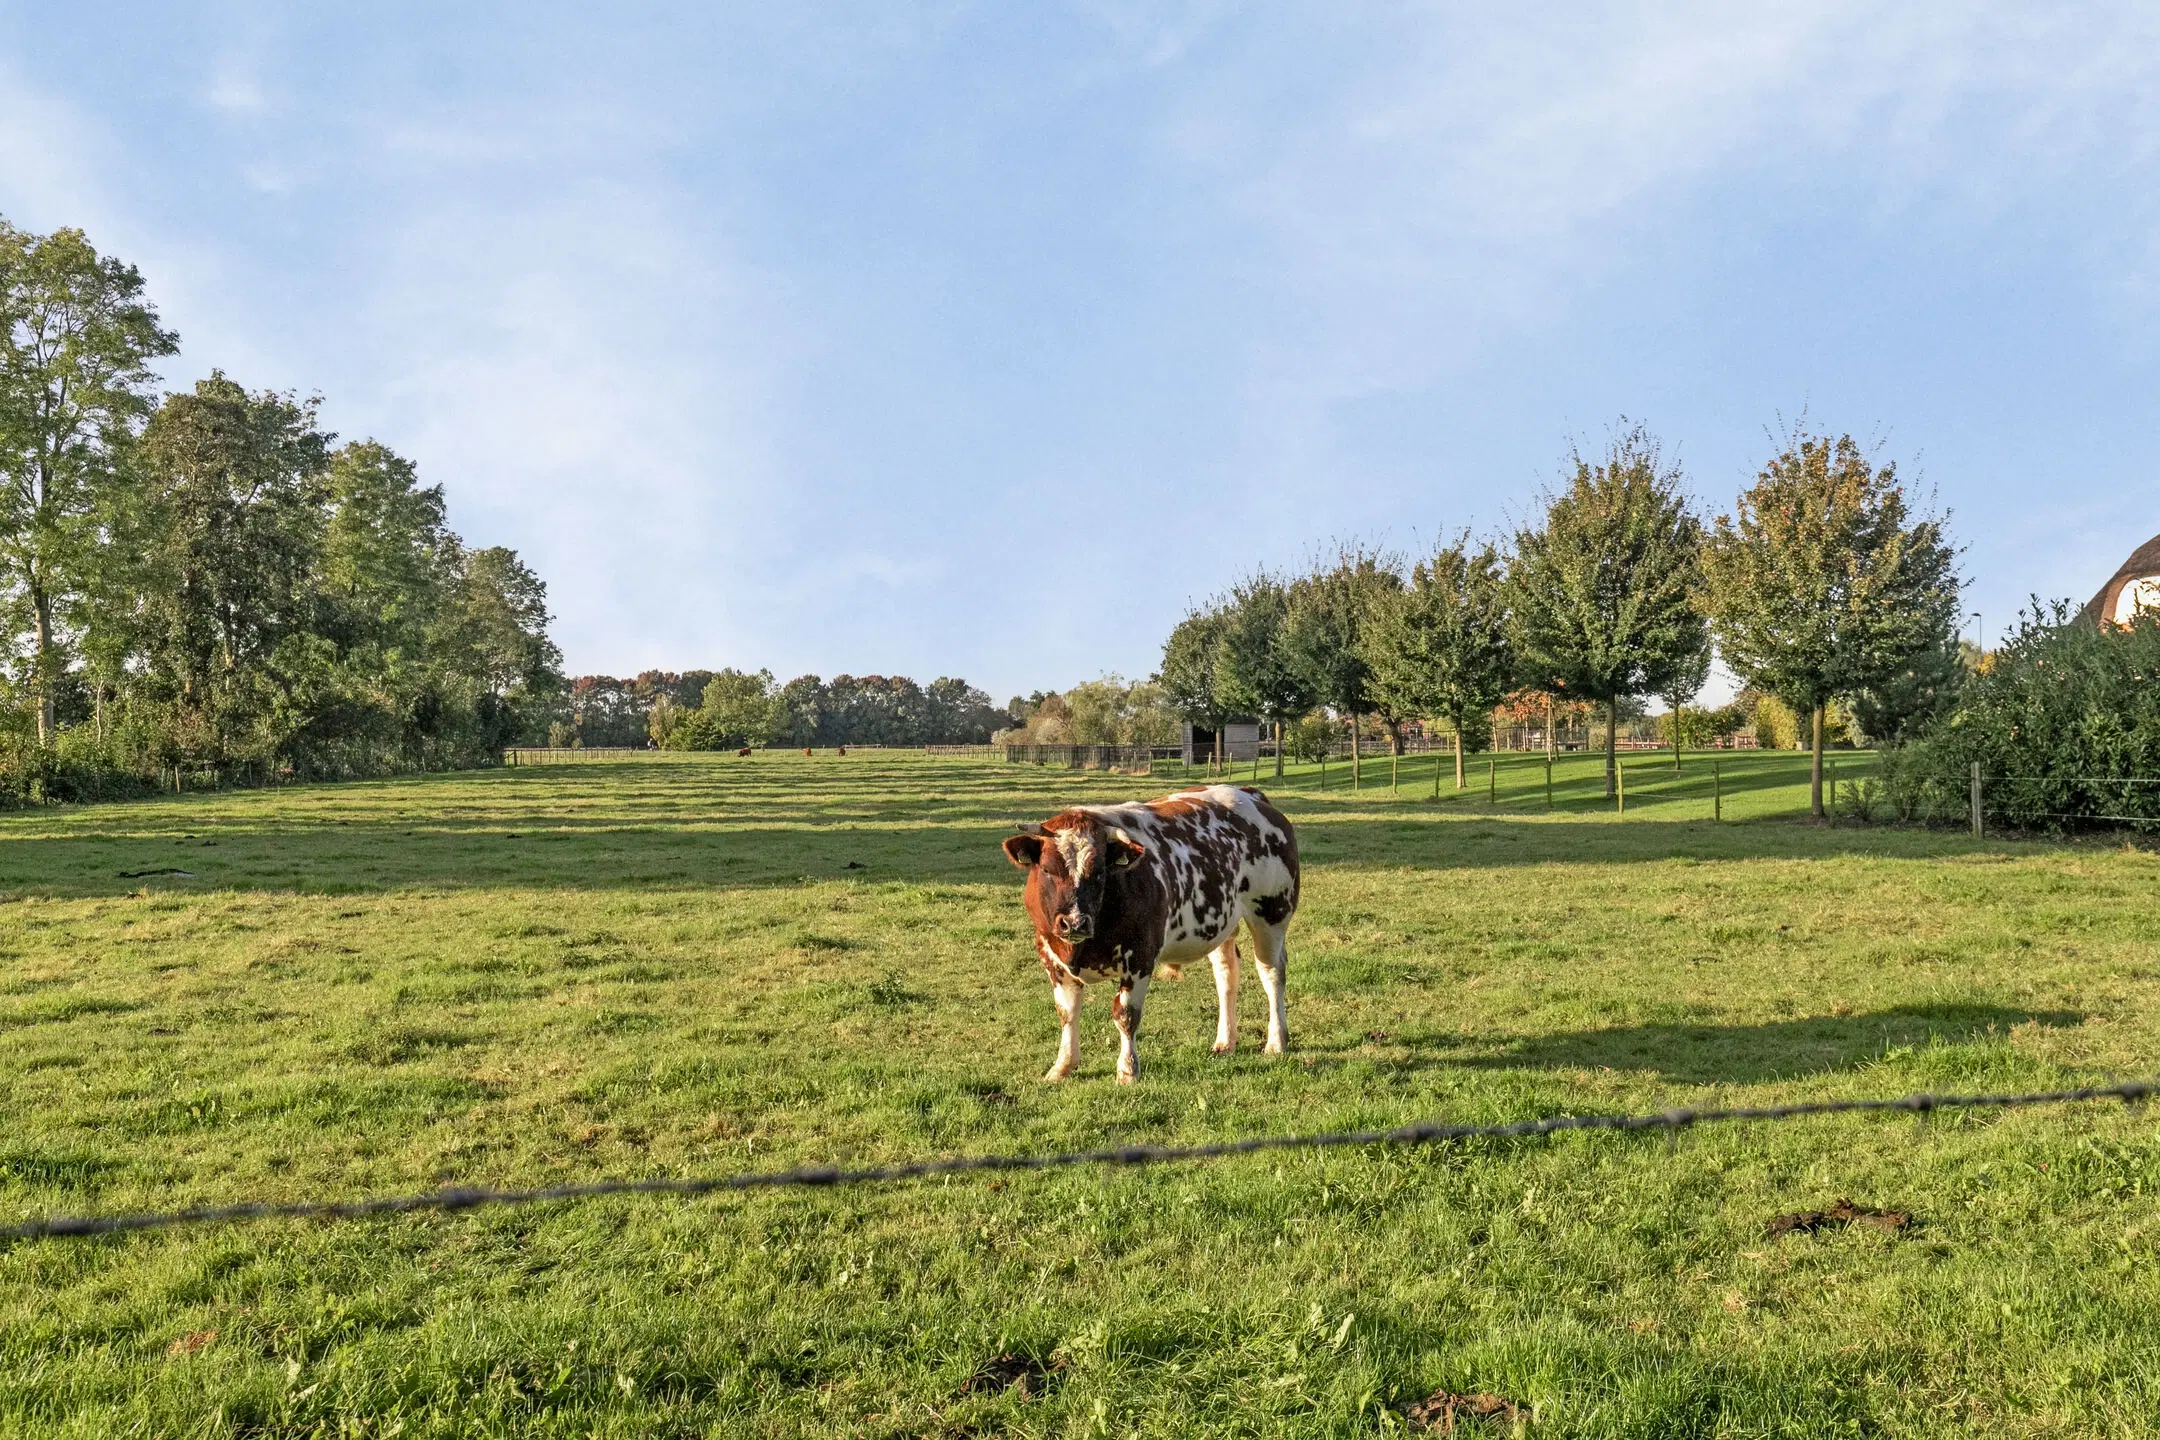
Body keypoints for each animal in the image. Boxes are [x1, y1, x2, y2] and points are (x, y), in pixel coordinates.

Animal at [997, 790, 1296, 1079]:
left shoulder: (1140, 956)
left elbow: (1126, 1014)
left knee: (1271, 974)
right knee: (1227, 975)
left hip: (1272, 914)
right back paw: (1225, 1041)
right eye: (1047, 869)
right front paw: (1063, 1066)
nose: (1074, 923)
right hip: (1221, 924)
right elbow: (1067, 1013)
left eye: (1099, 872)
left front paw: (1128, 1070)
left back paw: (1276, 1042)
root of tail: (1252, 795)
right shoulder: (1051, 956)